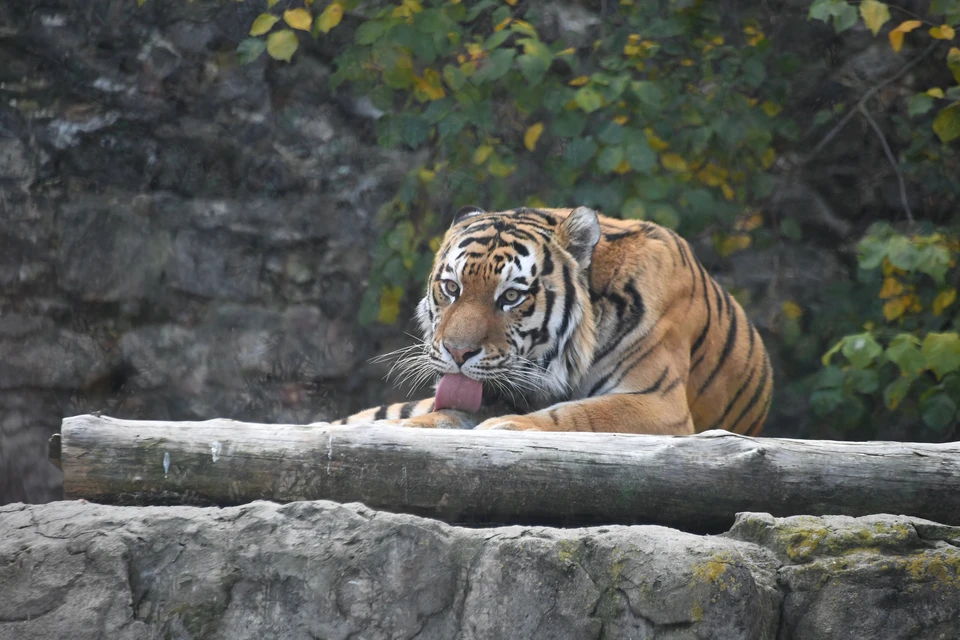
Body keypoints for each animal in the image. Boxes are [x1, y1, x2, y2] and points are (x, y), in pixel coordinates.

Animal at [333, 205, 772, 435]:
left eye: (511, 297)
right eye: (452, 288)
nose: (457, 354)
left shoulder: (658, 403)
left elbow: (581, 413)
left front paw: (506, 426)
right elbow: (442, 413)